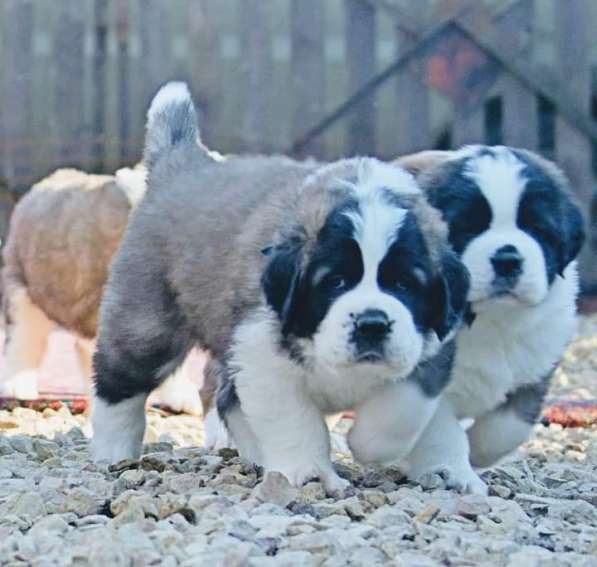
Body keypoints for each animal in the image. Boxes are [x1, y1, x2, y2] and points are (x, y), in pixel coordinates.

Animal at [91, 82, 468, 494]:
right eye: (334, 281)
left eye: (404, 283)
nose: (372, 324)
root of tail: (185, 165)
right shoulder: (261, 349)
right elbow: (295, 420)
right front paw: (311, 472)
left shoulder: (433, 347)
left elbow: (412, 408)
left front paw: (398, 452)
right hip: (147, 323)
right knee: (119, 384)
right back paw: (113, 453)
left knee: (228, 398)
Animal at [394, 144, 584, 494]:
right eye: (468, 227)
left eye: (535, 229)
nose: (507, 259)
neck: (489, 320)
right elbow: (443, 432)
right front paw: (456, 474)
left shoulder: (537, 365)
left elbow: (509, 425)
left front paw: (479, 453)